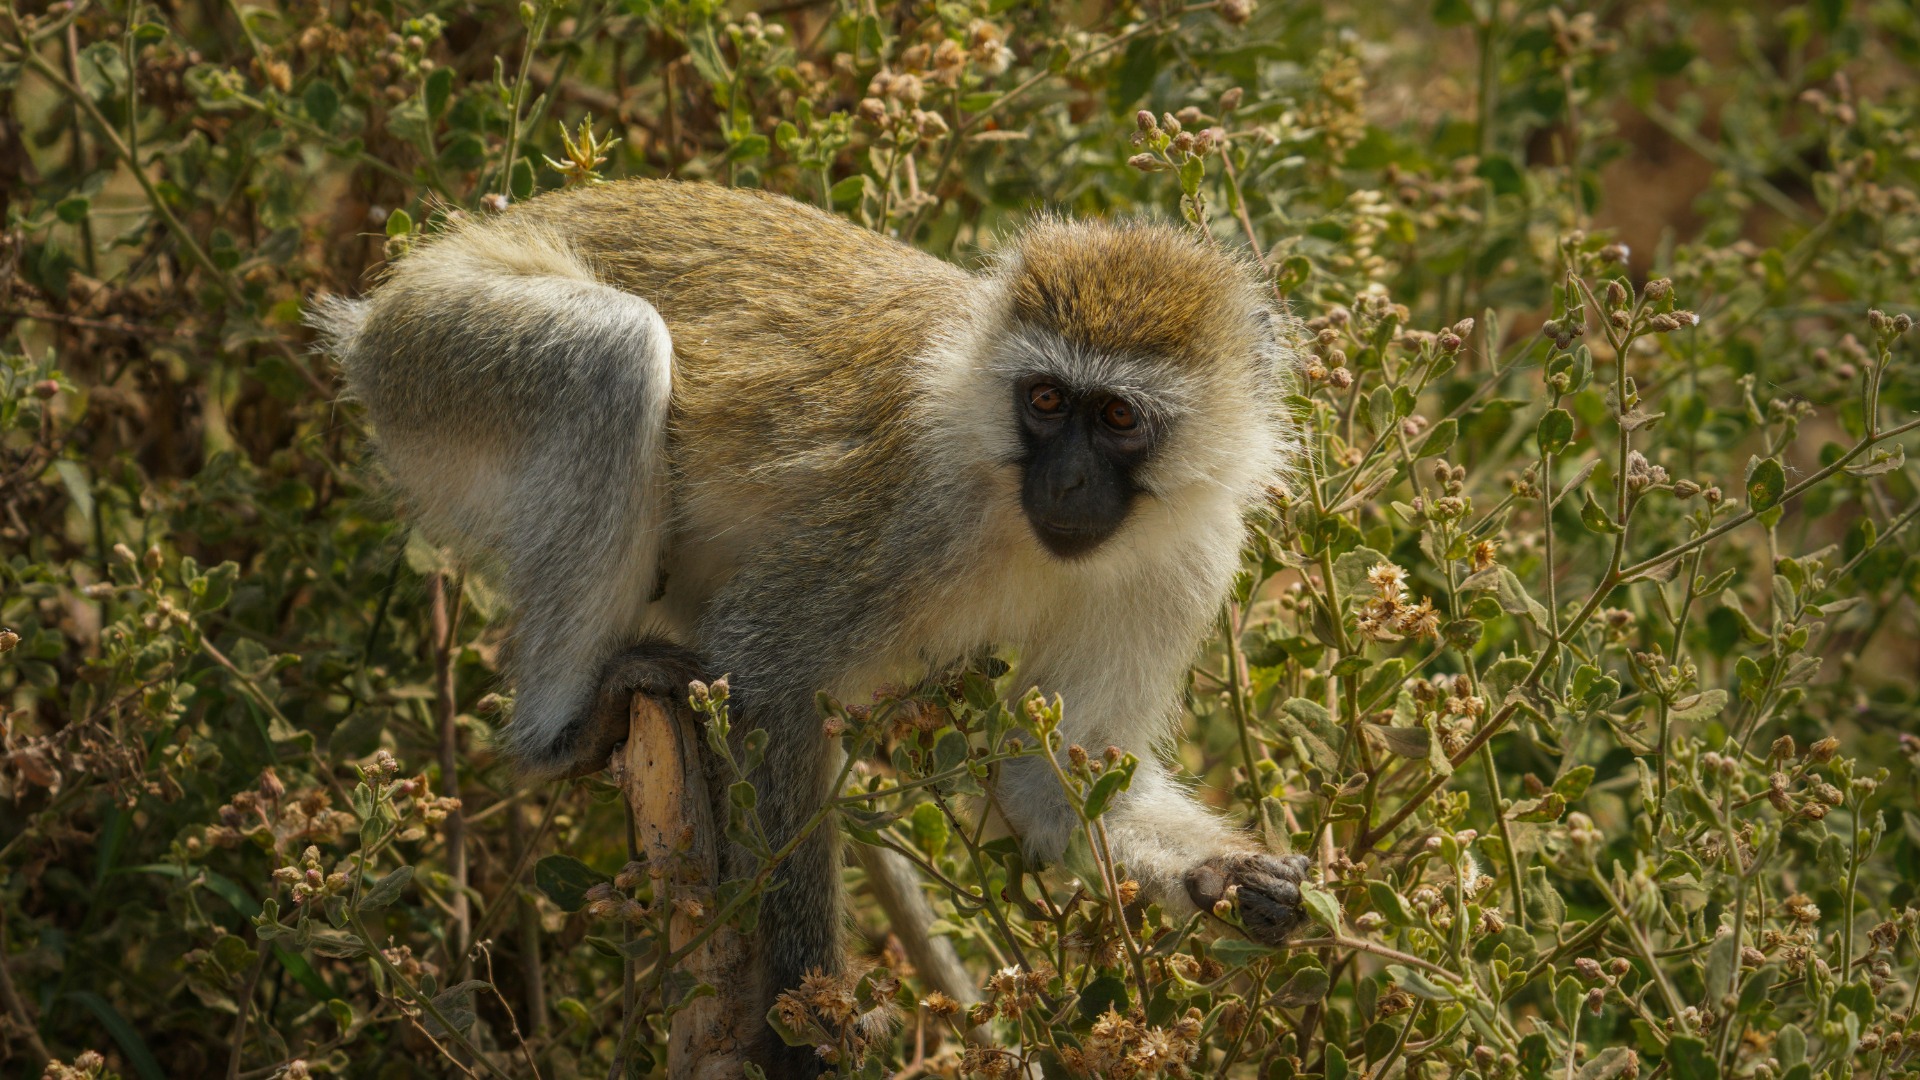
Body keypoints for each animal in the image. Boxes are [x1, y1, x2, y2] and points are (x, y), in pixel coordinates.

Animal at [313, 178, 1312, 1073]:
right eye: (1044, 401)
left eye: (1116, 416)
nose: (1066, 483)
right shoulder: (913, 517)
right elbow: (771, 670)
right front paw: (804, 1018)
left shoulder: (1188, 562)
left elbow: (1045, 784)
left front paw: (1227, 880)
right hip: (437, 353)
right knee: (610, 352)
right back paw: (565, 732)